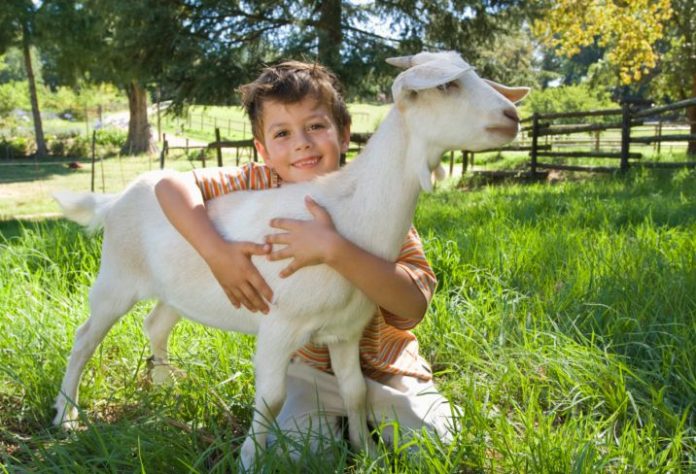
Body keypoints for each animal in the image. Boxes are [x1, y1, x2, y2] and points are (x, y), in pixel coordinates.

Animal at [53, 51, 528, 466]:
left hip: (175, 290)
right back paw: (66, 417)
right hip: (116, 277)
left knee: (155, 325)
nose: (512, 117)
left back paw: (164, 388)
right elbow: (271, 399)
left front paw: (368, 455)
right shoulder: (279, 325)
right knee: (84, 338)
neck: (346, 210)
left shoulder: (345, 330)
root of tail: (112, 201)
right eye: (447, 85)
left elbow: (355, 391)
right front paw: (248, 462)